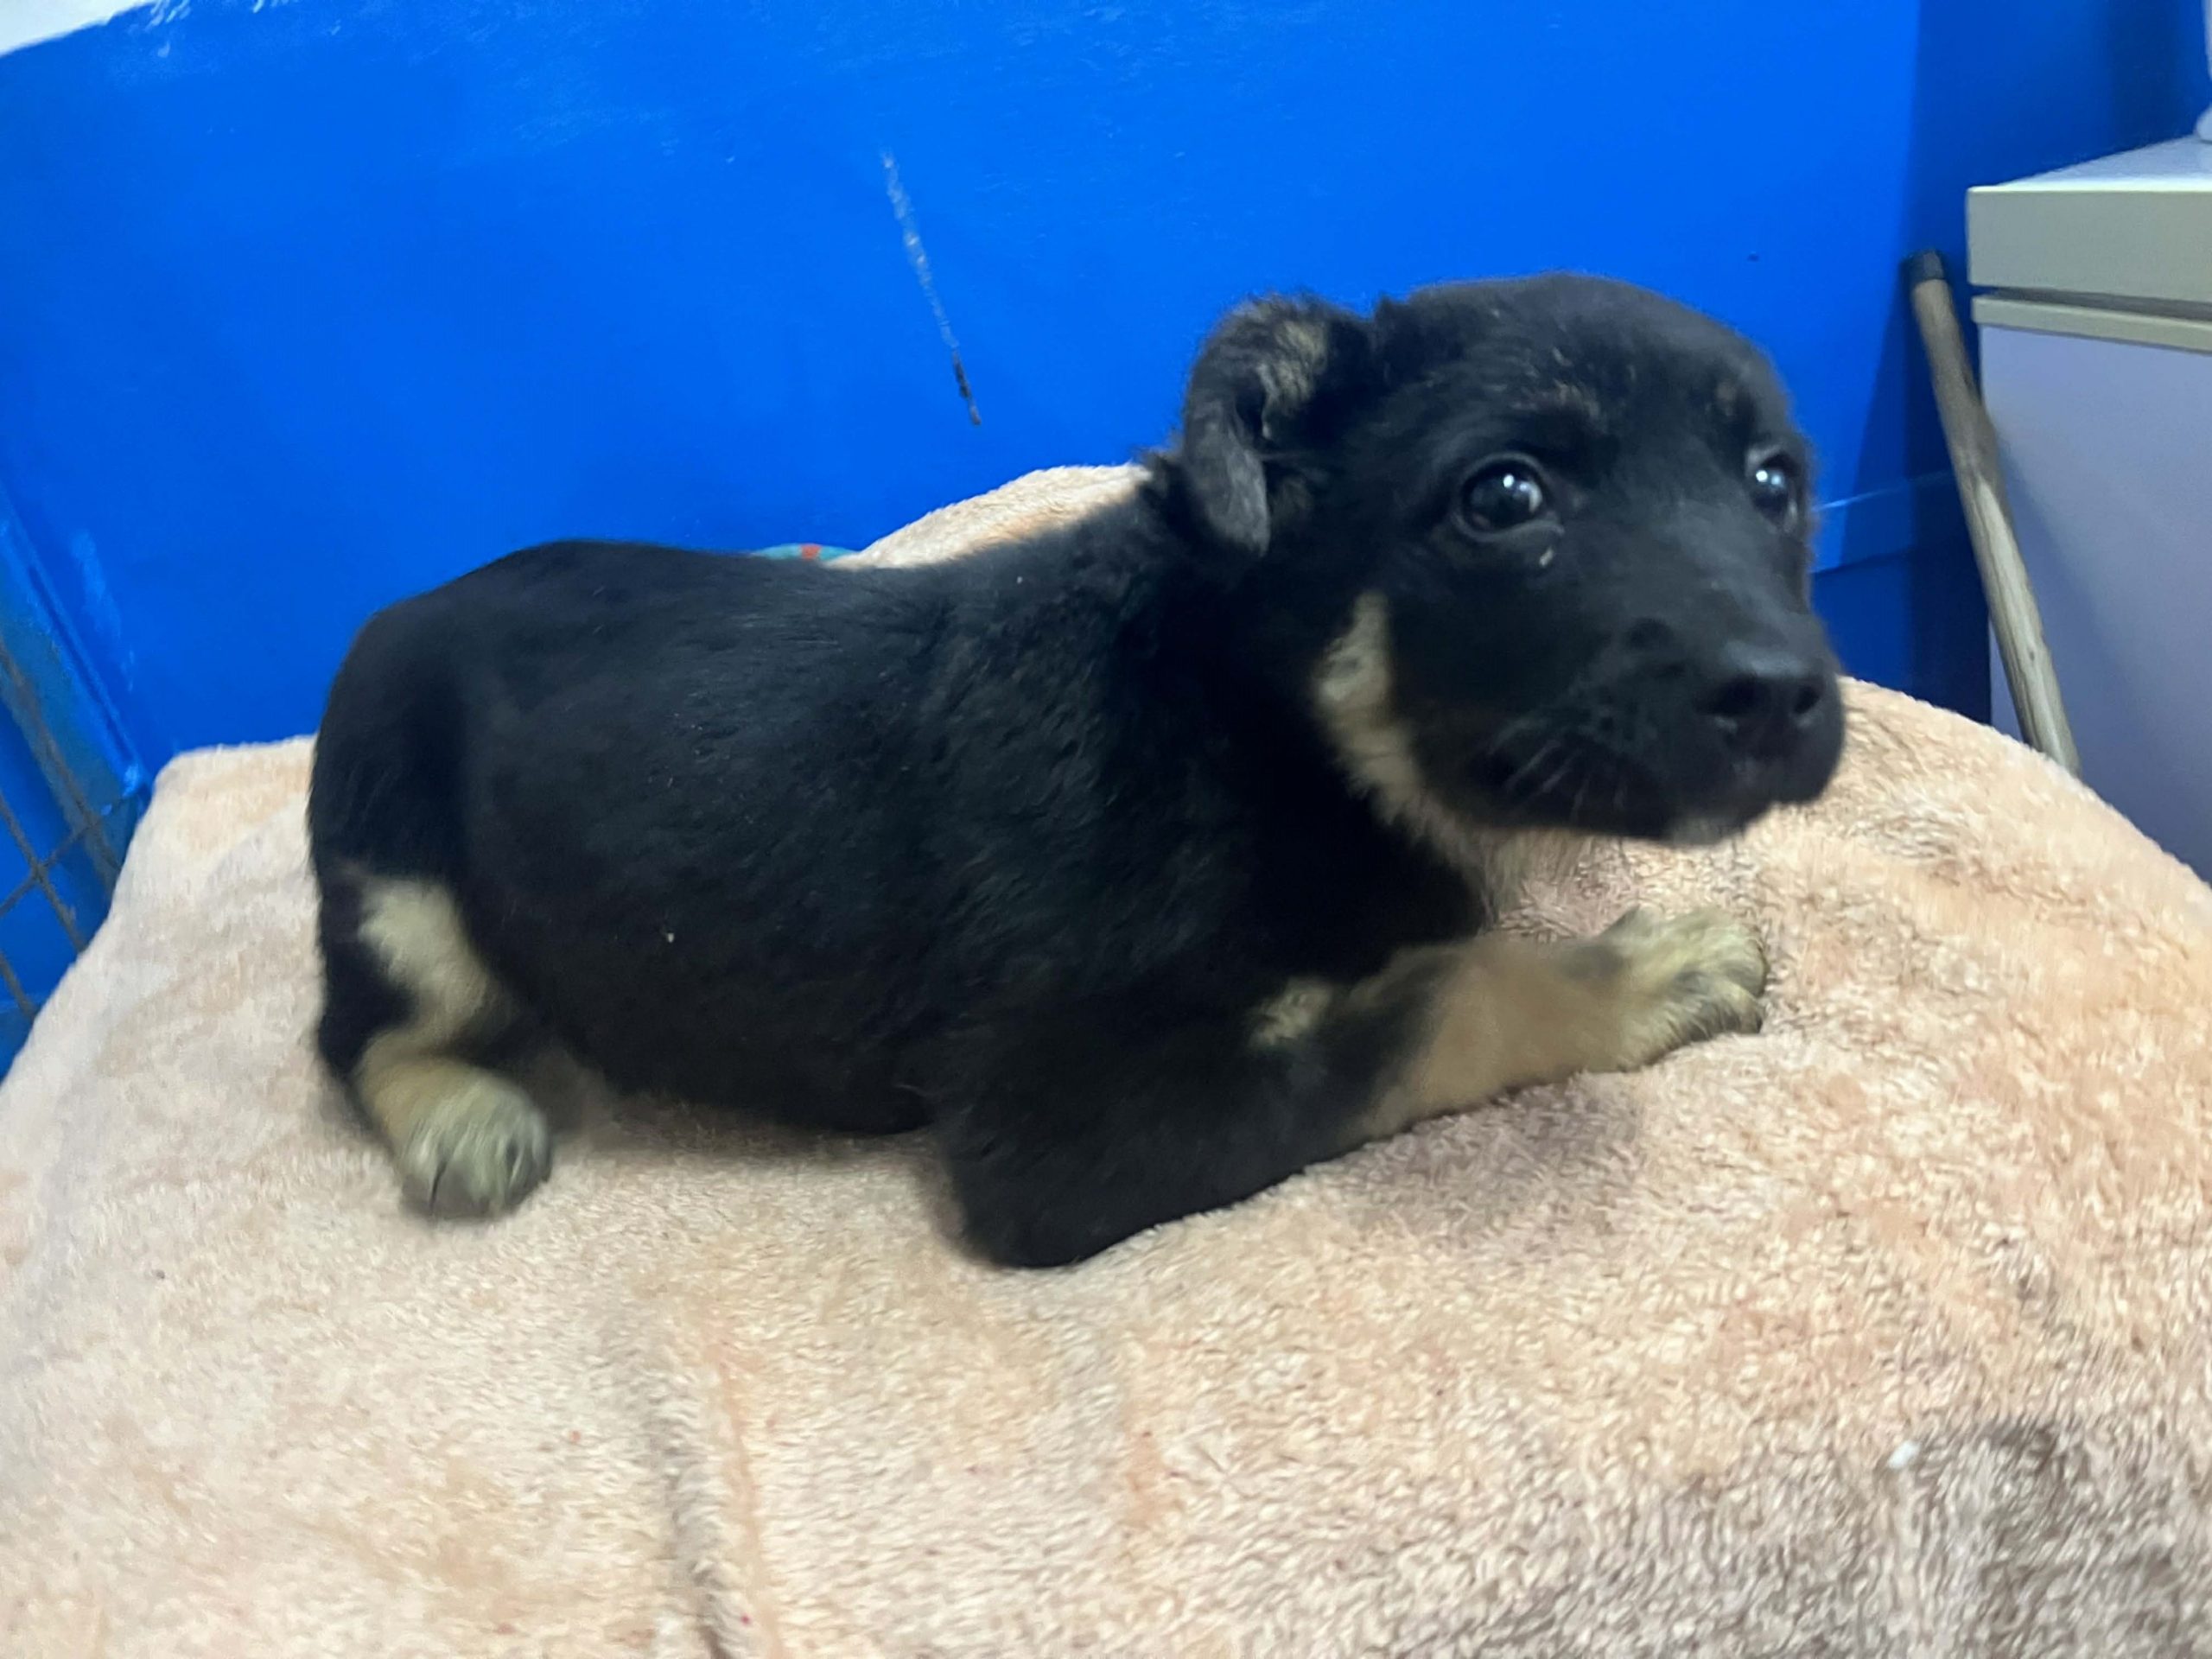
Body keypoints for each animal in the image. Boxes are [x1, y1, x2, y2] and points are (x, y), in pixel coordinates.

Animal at [308, 274, 1845, 1267]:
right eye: (1506, 497)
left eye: (1777, 484)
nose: (1784, 699)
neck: (1264, 723)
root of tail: (397, 611)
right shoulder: (1051, 1135)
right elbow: (1446, 999)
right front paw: (1643, 971)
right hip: (400, 891)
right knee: (357, 1036)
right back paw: (462, 1117)